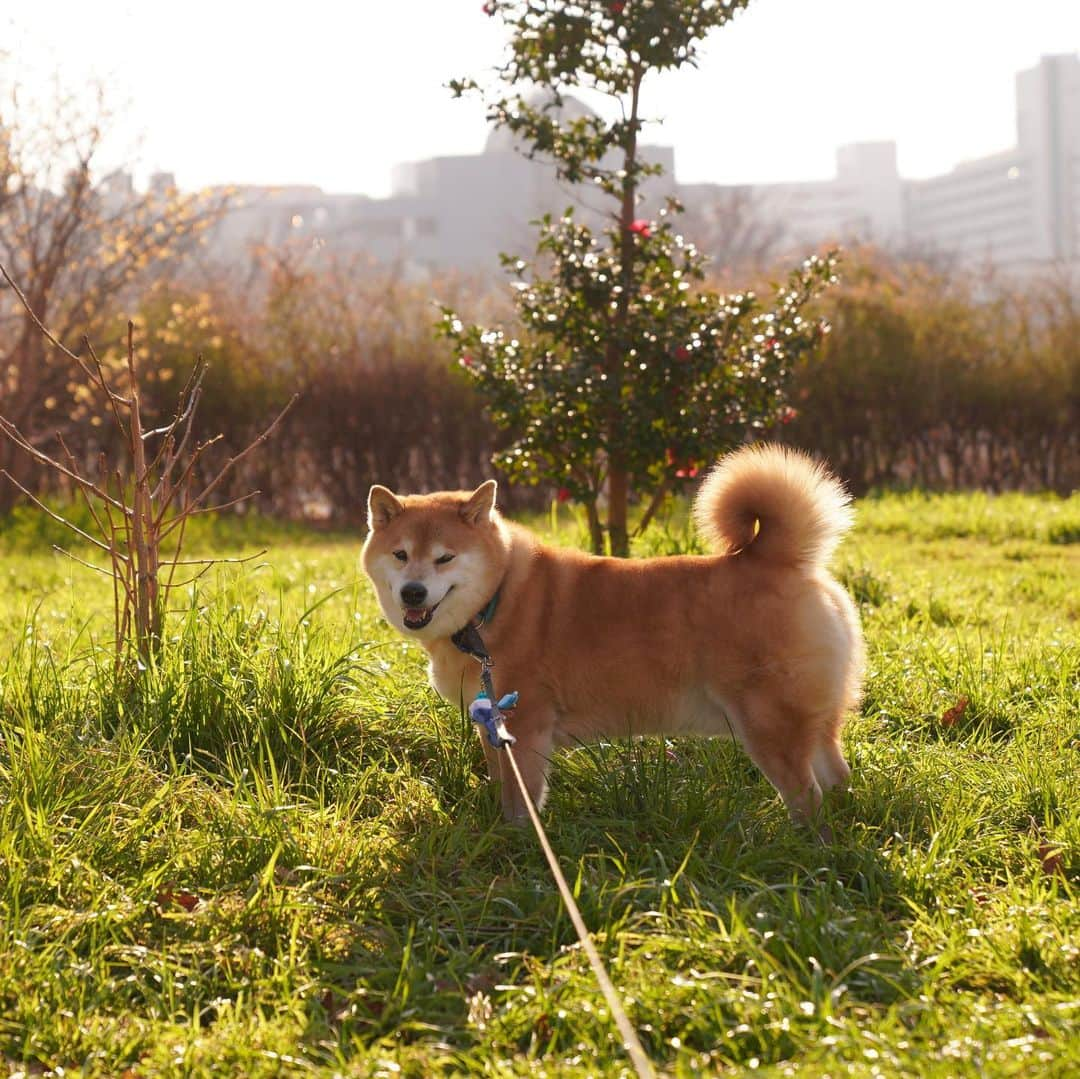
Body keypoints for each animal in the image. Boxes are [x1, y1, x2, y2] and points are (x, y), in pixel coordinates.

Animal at [360, 442, 859, 829]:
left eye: (444, 557)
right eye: (400, 554)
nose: (413, 591)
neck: (493, 602)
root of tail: (779, 560)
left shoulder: (525, 723)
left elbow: (520, 799)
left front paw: (516, 839)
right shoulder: (492, 728)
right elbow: (501, 784)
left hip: (767, 723)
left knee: (807, 795)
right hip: (808, 720)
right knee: (835, 777)